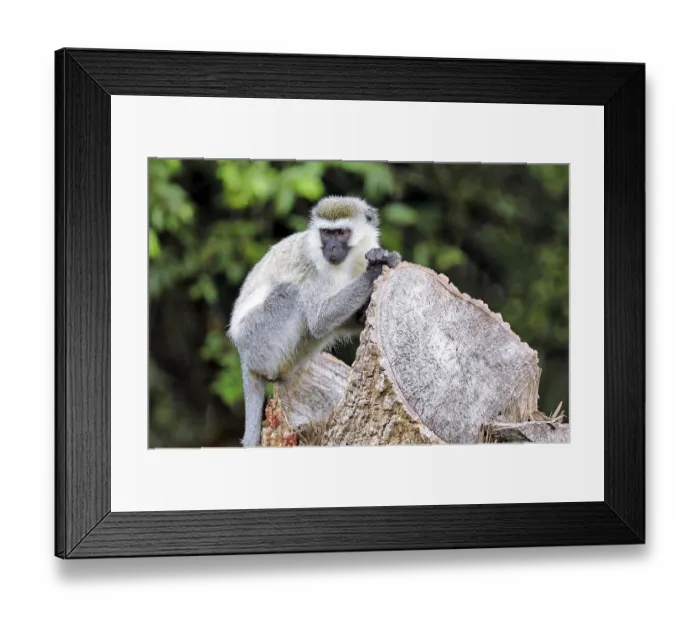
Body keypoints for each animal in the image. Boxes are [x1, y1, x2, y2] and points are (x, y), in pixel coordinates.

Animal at [227, 196, 402, 447]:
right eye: (326, 233)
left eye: (341, 233)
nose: (331, 248)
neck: (348, 262)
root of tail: (243, 354)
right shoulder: (313, 268)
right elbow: (319, 319)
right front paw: (374, 270)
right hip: (257, 340)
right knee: (290, 294)